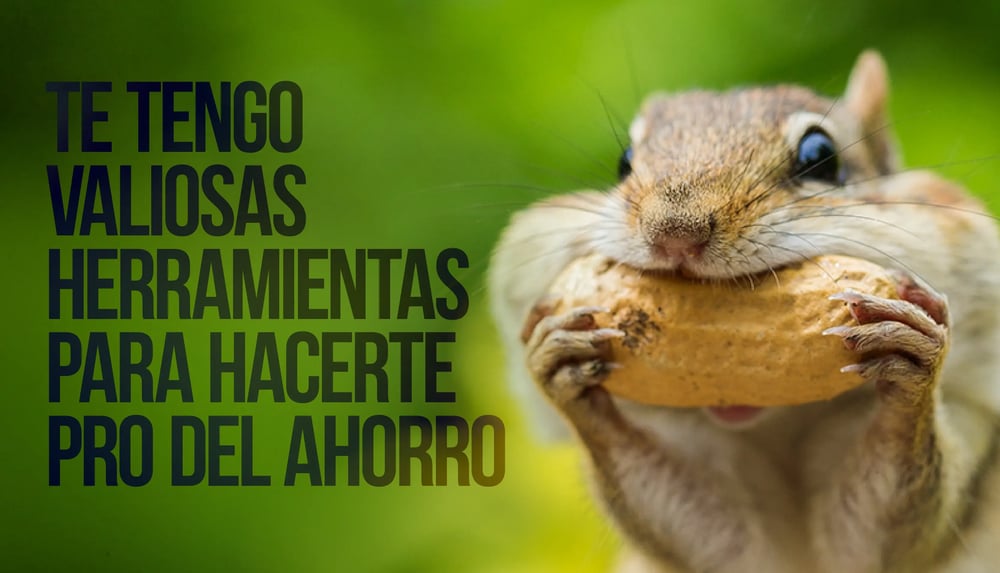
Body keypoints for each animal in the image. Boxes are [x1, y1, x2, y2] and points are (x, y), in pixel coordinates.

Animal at [488, 51, 1000, 573]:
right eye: (624, 162)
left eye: (821, 156)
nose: (675, 231)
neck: (776, 426)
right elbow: (706, 535)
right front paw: (565, 370)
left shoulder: (970, 421)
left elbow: (883, 535)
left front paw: (912, 370)